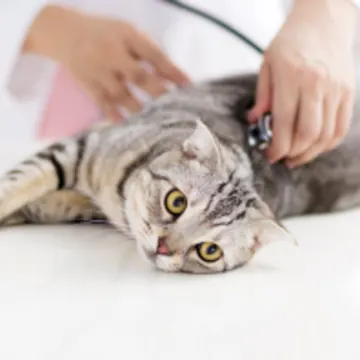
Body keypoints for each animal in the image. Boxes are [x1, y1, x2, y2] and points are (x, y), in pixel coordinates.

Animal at [0, 74, 360, 274]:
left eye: (209, 251)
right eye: (176, 202)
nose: (163, 248)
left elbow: (41, 204)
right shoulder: (82, 146)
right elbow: (21, 182)